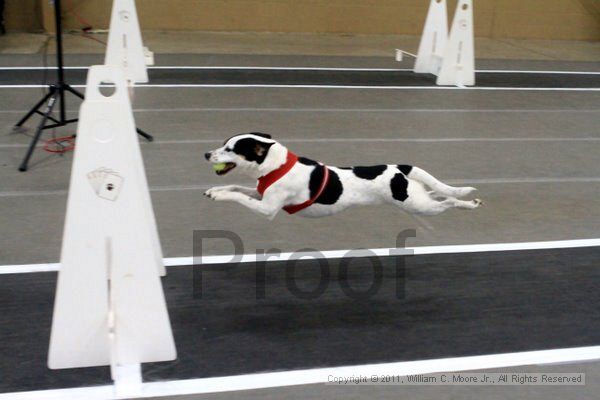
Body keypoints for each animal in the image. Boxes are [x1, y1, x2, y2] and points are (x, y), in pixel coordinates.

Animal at [204, 132, 480, 220]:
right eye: (223, 144)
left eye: (230, 149)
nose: (206, 154)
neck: (277, 166)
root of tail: (400, 168)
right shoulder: (260, 192)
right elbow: (237, 187)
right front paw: (215, 191)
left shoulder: (267, 209)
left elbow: (240, 197)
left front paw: (219, 197)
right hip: (418, 198)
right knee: (436, 193)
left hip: (418, 206)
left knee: (448, 201)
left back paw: (469, 204)